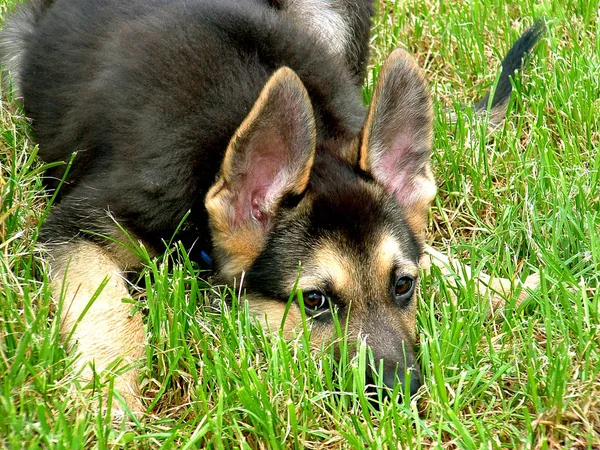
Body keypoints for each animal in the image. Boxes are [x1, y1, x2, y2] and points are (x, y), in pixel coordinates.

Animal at [0, 0, 544, 414]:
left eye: (403, 286)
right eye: (315, 302)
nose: (401, 396)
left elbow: (435, 254)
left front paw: (501, 285)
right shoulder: (78, 226)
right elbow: (113, 315)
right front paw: (108, 400)